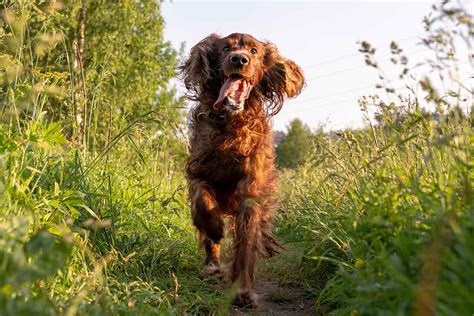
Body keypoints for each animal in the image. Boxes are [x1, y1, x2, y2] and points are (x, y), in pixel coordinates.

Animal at [178, 33, 304, 308]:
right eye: (226, 48)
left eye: (254, 51)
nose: (239, 59)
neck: (232, 125)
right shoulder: (199, 173)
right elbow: (203, 205)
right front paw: (215, 228)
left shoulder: (250, 192)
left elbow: (246, 242)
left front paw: (243, 290)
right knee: (209, 242)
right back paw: (212, 265)